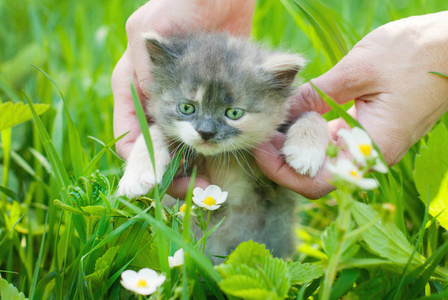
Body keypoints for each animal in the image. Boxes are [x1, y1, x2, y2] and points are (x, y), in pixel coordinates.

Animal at [117, 31, 330, 260]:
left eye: (234, 113)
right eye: (186, 108)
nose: (206, 132)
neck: (219, 158)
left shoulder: (274, 186)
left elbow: (313, 114)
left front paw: (306, 153)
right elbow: (154, 131)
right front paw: (136, 176)